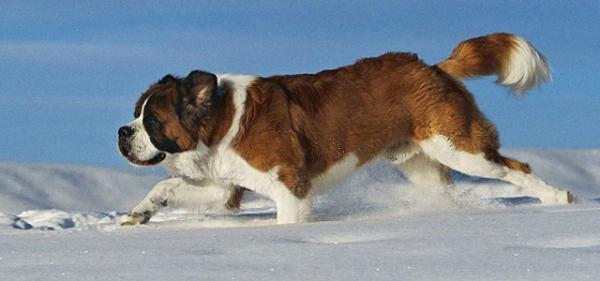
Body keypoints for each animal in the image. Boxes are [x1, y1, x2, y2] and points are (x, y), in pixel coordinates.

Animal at [117, 32, 572, 225]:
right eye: (136, 114)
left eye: (151, 121)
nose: (123, 132)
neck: (221, 120)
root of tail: (431, 67)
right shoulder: (225, 187)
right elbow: (167, 187)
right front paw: (139, 213)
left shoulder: (290, 187)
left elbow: (288, 219)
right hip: (422, 164)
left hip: (460, 147)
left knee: (516, 169)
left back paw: (559, 199)